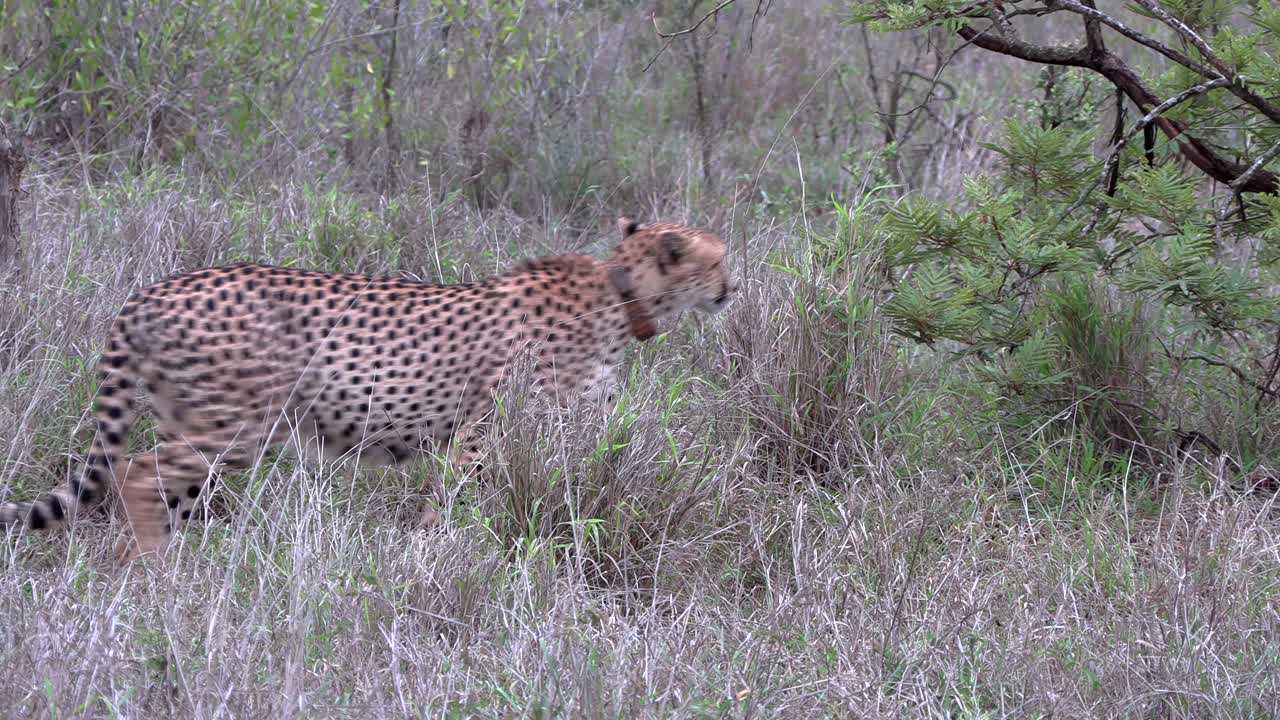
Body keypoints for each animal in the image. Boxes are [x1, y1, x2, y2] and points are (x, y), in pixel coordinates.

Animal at [1, 217, 736, 561]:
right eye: (719, 258)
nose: (733, 286)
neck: (623, 294)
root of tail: (155, 287)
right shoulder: (485, 432)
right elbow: (456, 501)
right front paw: (432, 557)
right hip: (235, 426)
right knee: (136, 477)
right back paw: (155, 576)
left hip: (197, 421)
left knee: (150, 489)